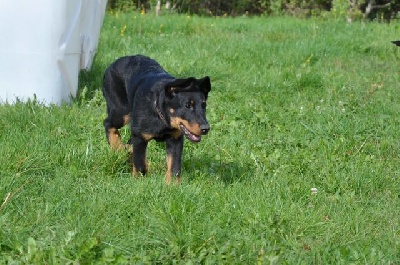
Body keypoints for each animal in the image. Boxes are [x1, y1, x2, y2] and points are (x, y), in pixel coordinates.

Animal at [101, 55, 211, 184]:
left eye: (204, 105)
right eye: (188, 105)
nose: (206, 128)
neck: (162, 119)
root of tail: (114, 63)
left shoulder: (175, 138)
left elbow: (174, 166)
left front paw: (173, 185)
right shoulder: (139, 137)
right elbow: (140, 164)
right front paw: (140, 181)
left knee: (129, 144)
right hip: (121, 112)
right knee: (108, 123)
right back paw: (117, 147)